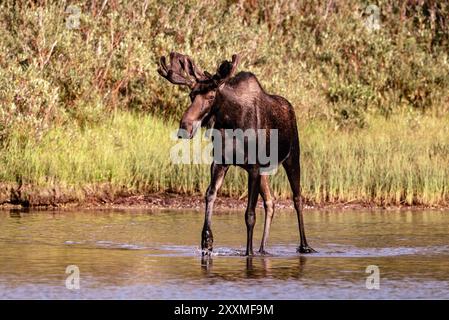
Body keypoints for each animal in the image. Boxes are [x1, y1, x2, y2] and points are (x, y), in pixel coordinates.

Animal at [158, 52, 316, 255]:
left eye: (211, 96)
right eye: (191, 95)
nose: (185, 126)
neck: (231, 124)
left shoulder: (254, 167)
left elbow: (250, 214)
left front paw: (248, 252)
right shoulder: (220, 163)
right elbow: (210, 194)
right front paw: (207, 239)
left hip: (292, 157)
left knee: (297, 199)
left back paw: (304, 246)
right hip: (265, 171)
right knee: (270, 202)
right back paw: (262, 249)